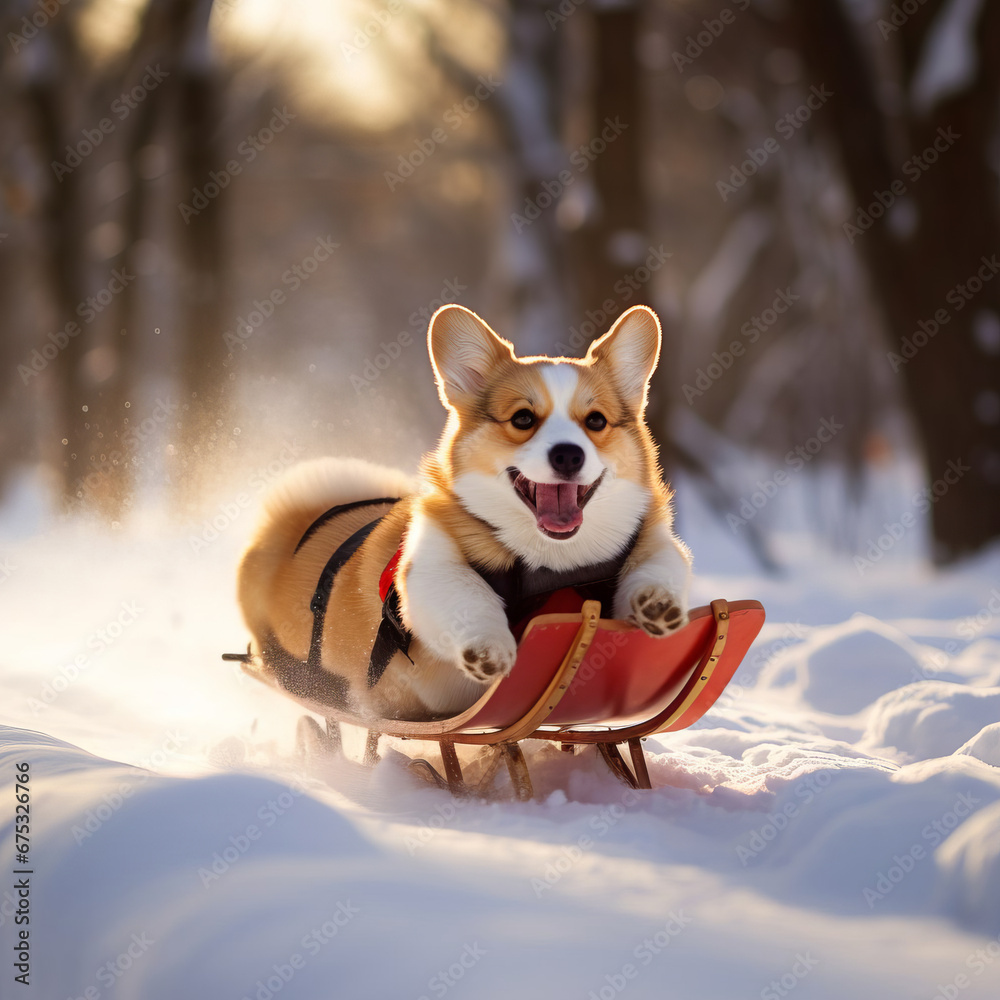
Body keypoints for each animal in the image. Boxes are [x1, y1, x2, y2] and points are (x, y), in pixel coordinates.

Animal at [240, 302, 696, 720]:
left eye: (596, 421)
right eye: (523, 418)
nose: (568, 454)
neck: (555, 563)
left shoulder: (656, 543)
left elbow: (658, 565)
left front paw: (657, 605)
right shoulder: (427, 570)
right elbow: (469, 594)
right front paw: (489, 648)